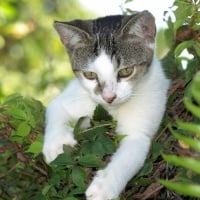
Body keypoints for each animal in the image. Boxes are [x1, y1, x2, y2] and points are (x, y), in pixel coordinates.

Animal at [43, 10, 170, 200]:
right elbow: (55, 108)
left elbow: (128, 156)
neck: (112, 109)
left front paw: (104, 187)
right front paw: (56, 144)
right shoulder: (72, 96)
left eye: (126, 71)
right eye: (89, 75)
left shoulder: (139, 132)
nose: (108, 97)